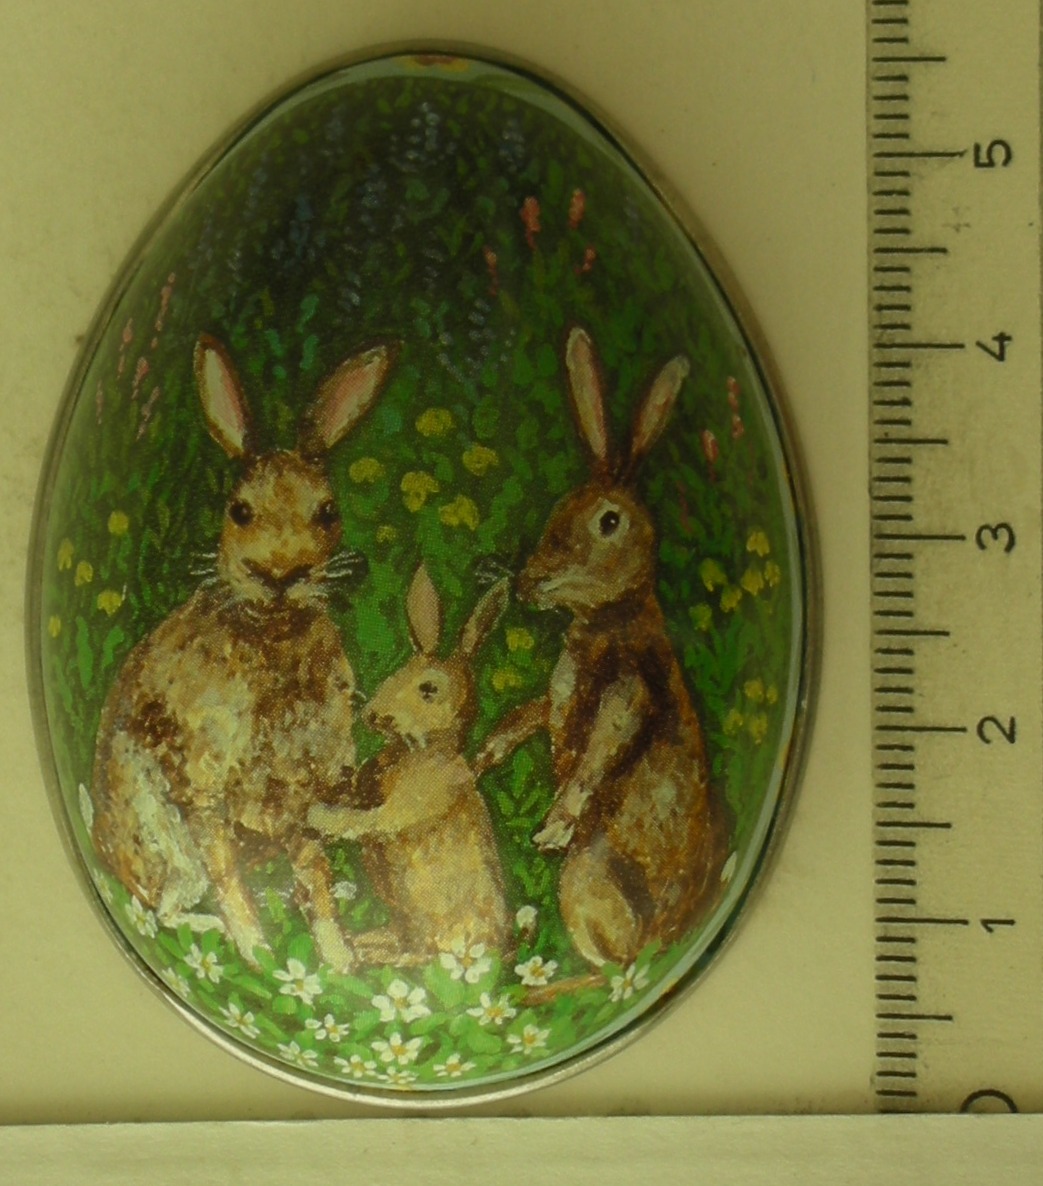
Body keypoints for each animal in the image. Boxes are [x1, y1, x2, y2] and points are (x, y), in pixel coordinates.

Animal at [90, 333, 398, 972]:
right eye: (239, 511)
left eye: (328, 511)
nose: (279, 574)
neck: (271, 635)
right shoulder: (206, 790)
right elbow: (227, 874)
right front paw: (259, 952)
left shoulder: (301, 794)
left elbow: (313, 871)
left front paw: (338, 958)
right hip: (158, 829)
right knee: (167, 905)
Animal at [307, 563, 512, 967]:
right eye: (396, 673)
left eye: (428, 690)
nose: (373, 716)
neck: (418, 753)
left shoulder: (403, 809)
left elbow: (362, 821)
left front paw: (316, 814)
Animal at [477, 326, 733, 976]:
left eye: (608, 522)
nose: (529, 582)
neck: (607, 620)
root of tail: (661, 935)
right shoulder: (555, 694)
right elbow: (529, 715)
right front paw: (483, 756)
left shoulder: (626, 694)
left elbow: (596, 756)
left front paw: (550, 828)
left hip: (587, 878)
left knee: (608, 963)